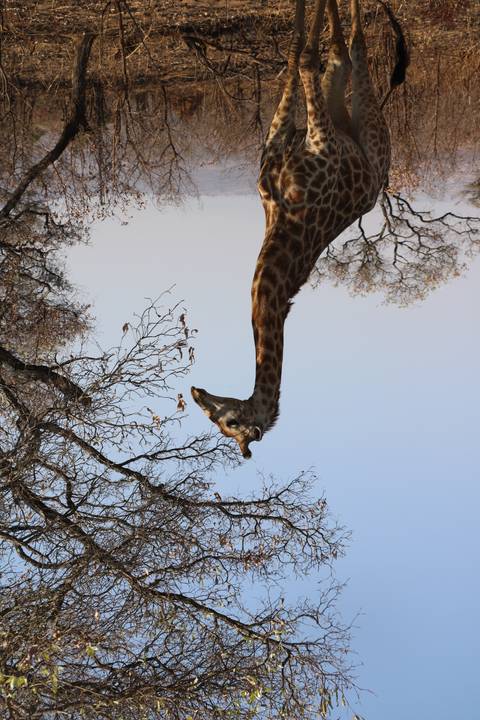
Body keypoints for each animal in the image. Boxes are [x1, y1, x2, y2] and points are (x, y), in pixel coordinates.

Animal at [192, 0, 391, 458]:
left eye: (228, 421)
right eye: (215, 422)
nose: (197, 393)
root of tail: (380, 177)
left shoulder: (320, 143)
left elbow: (300, 57)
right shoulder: (283, 142)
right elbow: (297, 54)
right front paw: (305, 17)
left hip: (372, 135)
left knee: (354, 49)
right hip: (346, 115)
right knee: (340, 55)